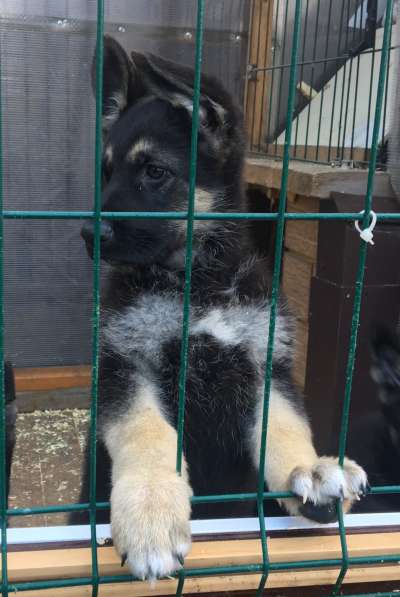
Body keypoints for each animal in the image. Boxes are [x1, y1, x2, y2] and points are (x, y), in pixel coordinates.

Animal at [79, 36, 368, 576]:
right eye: (105, 174)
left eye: (154, 172)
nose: (89, 234)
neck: (200, 283)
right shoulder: (125, 365)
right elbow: (146, 435)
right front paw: (151, 507)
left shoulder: (265, 363)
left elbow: (285, 424)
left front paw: (310, 469)